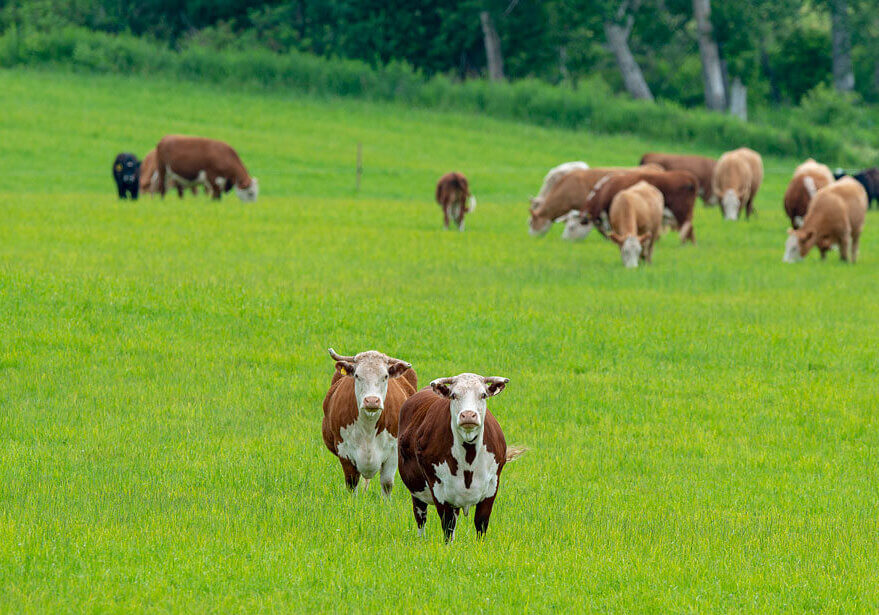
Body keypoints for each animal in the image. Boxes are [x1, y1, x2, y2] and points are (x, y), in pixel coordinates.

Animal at [322, 348, 417, 496]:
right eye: (357, 375)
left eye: (385, 376)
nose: (372, 401)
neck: (368, 426)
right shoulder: (344, 451)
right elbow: (352, 483)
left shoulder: (393, 451)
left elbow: (387, 484)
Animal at [398, 373, 524, 542]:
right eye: (453, 395)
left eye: (483, 395)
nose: (468, 415)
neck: (468, 459)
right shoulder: (439, 490)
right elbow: (447, 526)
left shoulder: (491, 487)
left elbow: (481, 523)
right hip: (416, 491)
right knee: (421, 518)